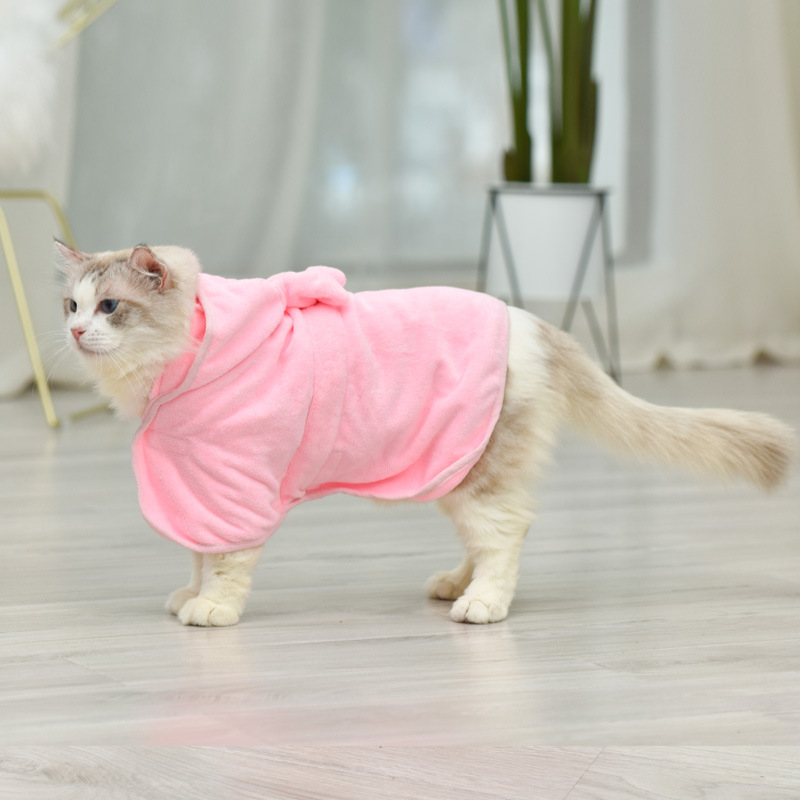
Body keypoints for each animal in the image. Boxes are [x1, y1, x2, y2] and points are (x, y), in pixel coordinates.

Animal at [57, 241, 795, 627]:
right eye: (71, 304)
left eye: (111, 307)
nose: (73, 331)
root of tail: (533, 324)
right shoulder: (200, 485)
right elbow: (198, 553)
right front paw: (193, 593)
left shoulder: (236, 481)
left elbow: (227, 561)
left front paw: (212, 608)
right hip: (453, 468)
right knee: (491, 534)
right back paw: (456, 584)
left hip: (482, 471)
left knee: (507, 533)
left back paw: (483, 603)